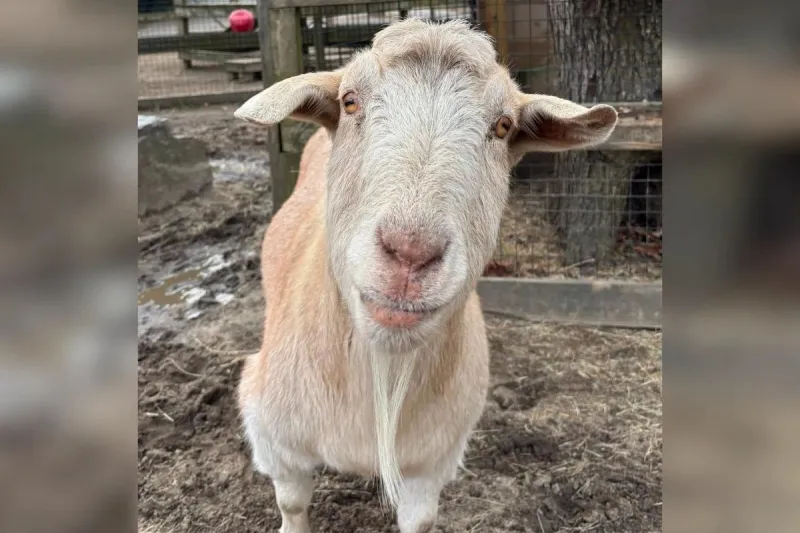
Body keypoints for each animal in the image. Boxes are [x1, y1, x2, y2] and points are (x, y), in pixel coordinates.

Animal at [234, 18, 617, 533]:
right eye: (350, 101)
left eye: (503, 126)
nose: (411, 253)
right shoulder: (273, 434)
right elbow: (292, 505)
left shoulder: (433, 460)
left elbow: (420, 521)